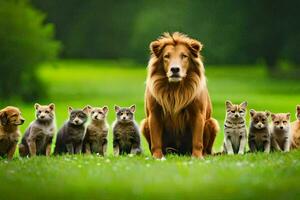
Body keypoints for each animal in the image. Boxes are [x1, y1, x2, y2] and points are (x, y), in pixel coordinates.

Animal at [141, 31, 220, 159]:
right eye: (166, 56)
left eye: (184, 56)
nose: (175, 69)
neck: (175, 89)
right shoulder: (154, 113)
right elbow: (155, 141)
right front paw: (157, 157)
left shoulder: (197, 113)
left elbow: (197, 141)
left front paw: (197, 157)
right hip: (144, 123)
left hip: (211, 122)